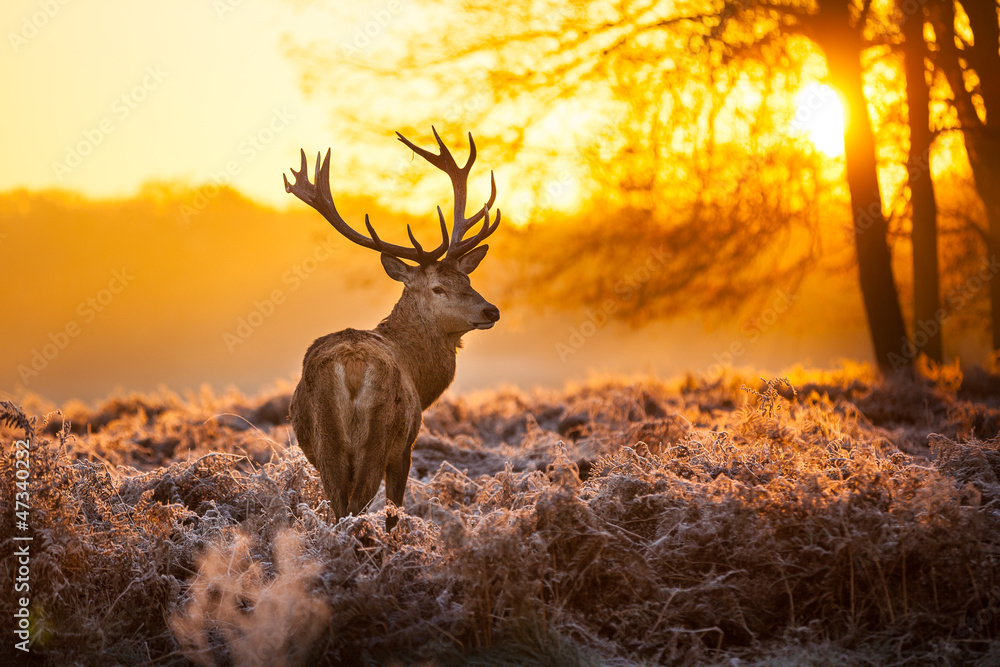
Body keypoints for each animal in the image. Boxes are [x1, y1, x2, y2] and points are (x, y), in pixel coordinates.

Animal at [282, 126, 500, 532]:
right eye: (438, 288)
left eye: (467, 278)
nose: (490, 310)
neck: (420, 374)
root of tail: (351, 367)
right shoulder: (406, 445)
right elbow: (394, 512)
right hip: (379, 436)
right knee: (358, 506)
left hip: (325, 442)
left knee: (339, 507)